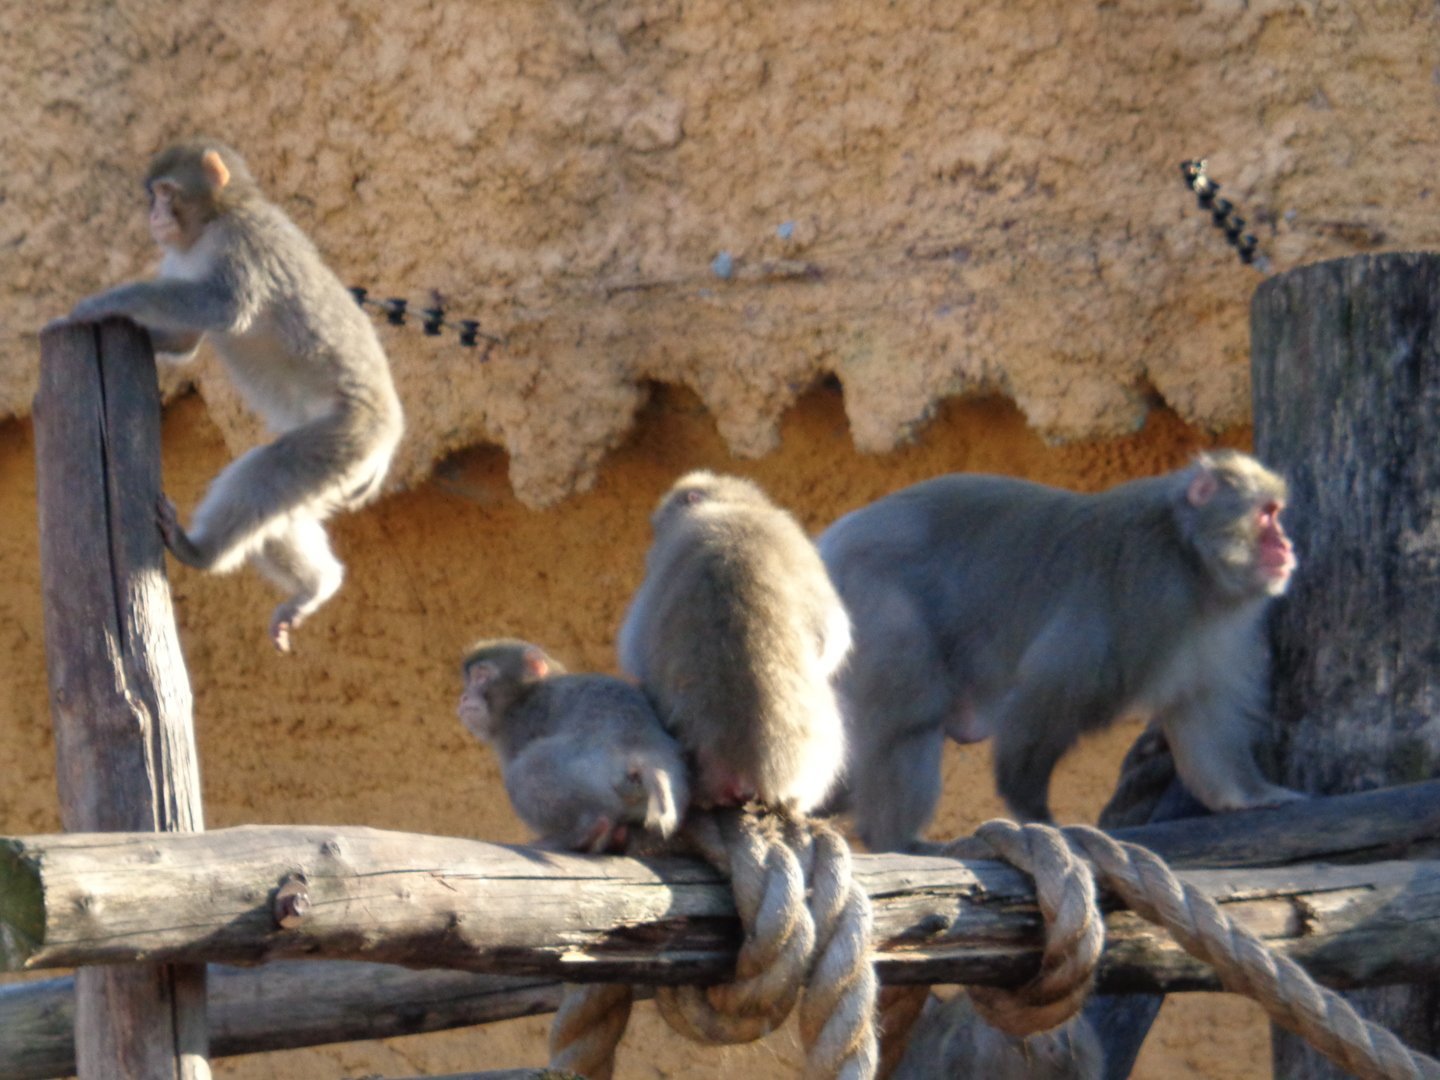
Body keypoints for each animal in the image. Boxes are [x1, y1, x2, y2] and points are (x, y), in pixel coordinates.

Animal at [54, 140, 406, 656]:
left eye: (165, 191)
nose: (154, 213)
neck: (219, 214)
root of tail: (388, 441)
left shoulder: (240, 245)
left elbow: (226, 308)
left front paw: (103, 303)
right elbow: (184, 340)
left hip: (347, 437)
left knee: (262, 475)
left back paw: (198, 551)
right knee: (278, 508)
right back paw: (314, 588)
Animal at [457, 639, 688, 852]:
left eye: (481, 676)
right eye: (469, 680)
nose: (464, 697)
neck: (525, 694)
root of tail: (644, 747)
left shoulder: (522, 720)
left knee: (528, 770)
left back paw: (582, 833)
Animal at [823, 449, 1307, 852]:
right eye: (1266, 515)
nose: (1286, 545)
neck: (1189, 555)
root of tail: (832, 542)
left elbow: (1202, 710)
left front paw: (1251, 797)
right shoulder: (1144, 594)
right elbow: (1047, 697)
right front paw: (1030, 807)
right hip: (875, 602)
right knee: (912, 716)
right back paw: (894, 840)